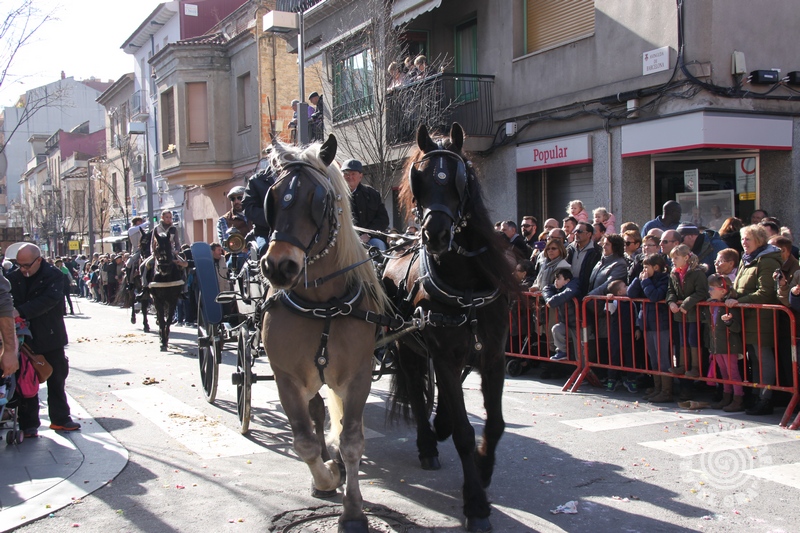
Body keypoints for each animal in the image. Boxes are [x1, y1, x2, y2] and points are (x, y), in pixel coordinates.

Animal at [258, 134, 388, 533]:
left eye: (320, 199)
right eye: (273, 196)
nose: (278, 266)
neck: (323, 305)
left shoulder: (358, 376)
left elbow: (351, 440)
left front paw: (353, 510)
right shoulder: (285, 378)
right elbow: (303, 442)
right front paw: (327, 477)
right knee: (315, 413)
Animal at [383, 123, 518, 532]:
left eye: (458, 178)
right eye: (420, 179)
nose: (437, 235)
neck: (467, 283)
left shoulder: (492, 355)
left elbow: (495, 423)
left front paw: (484, 468)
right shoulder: (443, 355)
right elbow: (463, 431)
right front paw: (476, 505)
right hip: (407, 347)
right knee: (415, 388)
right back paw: (428, 443)